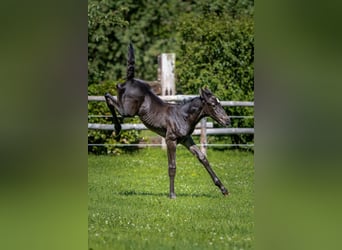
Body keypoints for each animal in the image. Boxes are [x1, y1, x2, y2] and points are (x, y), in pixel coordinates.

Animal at [105, 43, 231, 199]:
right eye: (213, 105)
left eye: (220, 103)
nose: (227, 120)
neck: (182, 116)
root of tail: (130, 80)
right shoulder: (170, 139)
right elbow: (172, 166)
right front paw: (172, 194)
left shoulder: (186, 139)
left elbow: (202, 158)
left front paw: (224, 189)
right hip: (127, 110)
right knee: (108, 96)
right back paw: (117, 128)